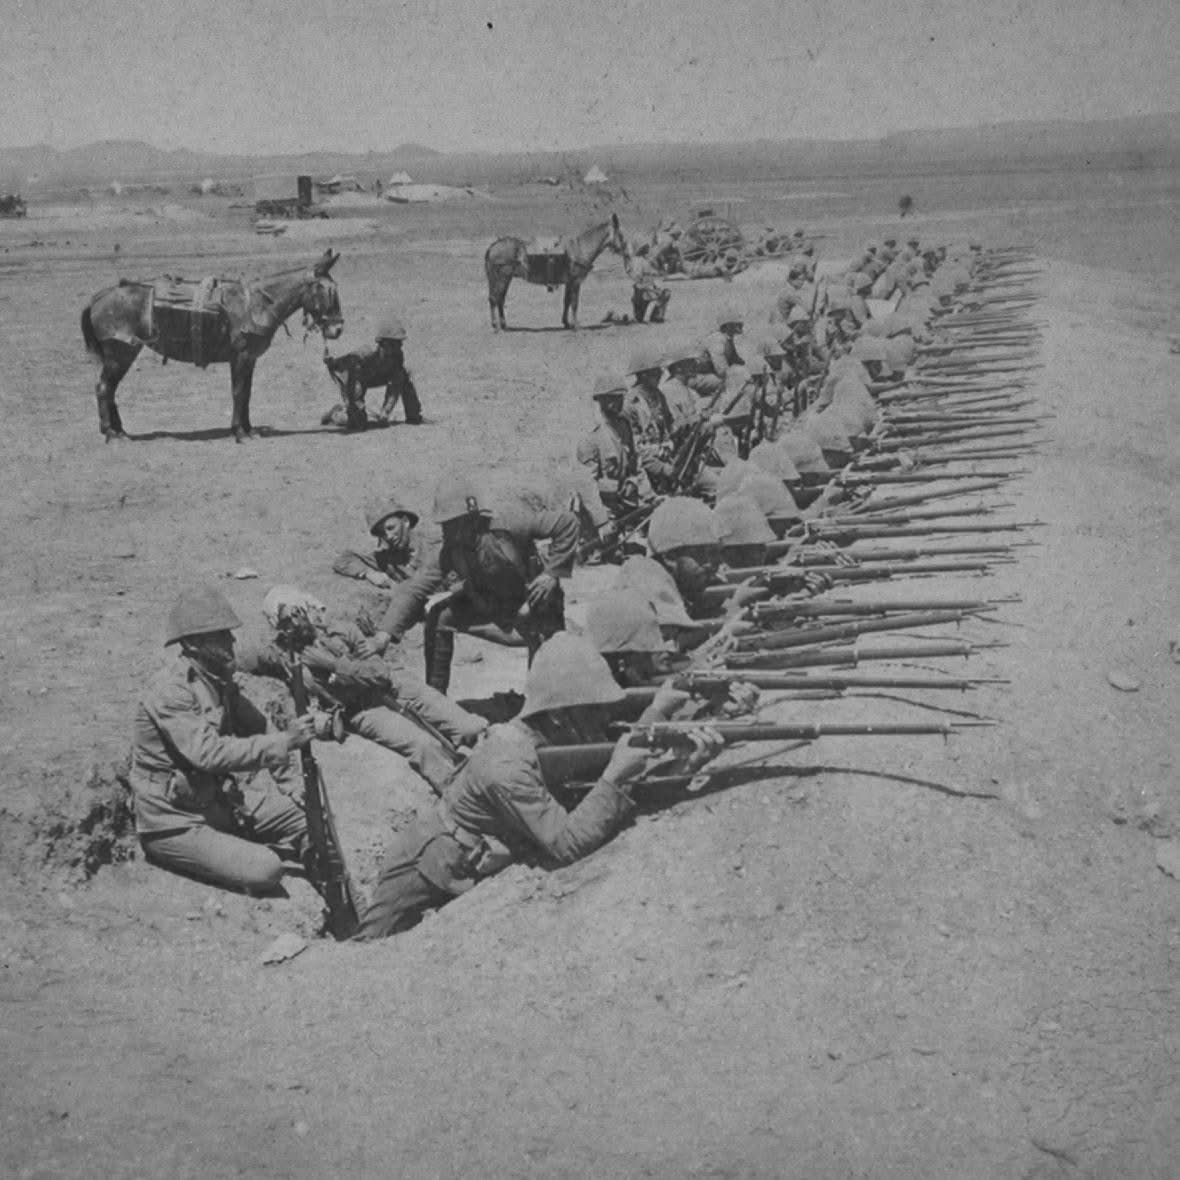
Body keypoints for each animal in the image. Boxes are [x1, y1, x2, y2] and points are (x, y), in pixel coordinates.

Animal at [79, 246, 342, 441]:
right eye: (326, 289)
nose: (337, 329)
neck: (257, 305)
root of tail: (99, 297)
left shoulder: (249, 359)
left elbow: (247, 393)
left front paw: (249, 429)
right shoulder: (241, 357)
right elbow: (238, 392)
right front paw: (239, 432)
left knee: (110, 389)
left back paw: (120, 431)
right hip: (121, 353)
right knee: (104, 387)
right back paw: (111, 433)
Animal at [481, 213, 627, 330]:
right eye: (620, 235)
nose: (625, 251)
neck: (580, 250)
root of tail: (493, 246)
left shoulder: (569, 283)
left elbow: (567, 302)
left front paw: (567, 323)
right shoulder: (575, 282)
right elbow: (575, 303)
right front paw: (576, 326)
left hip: (504, 278)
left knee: (499, 299)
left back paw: (503, 324)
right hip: (502, 278)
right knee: (495, 298)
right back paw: (496, 325)